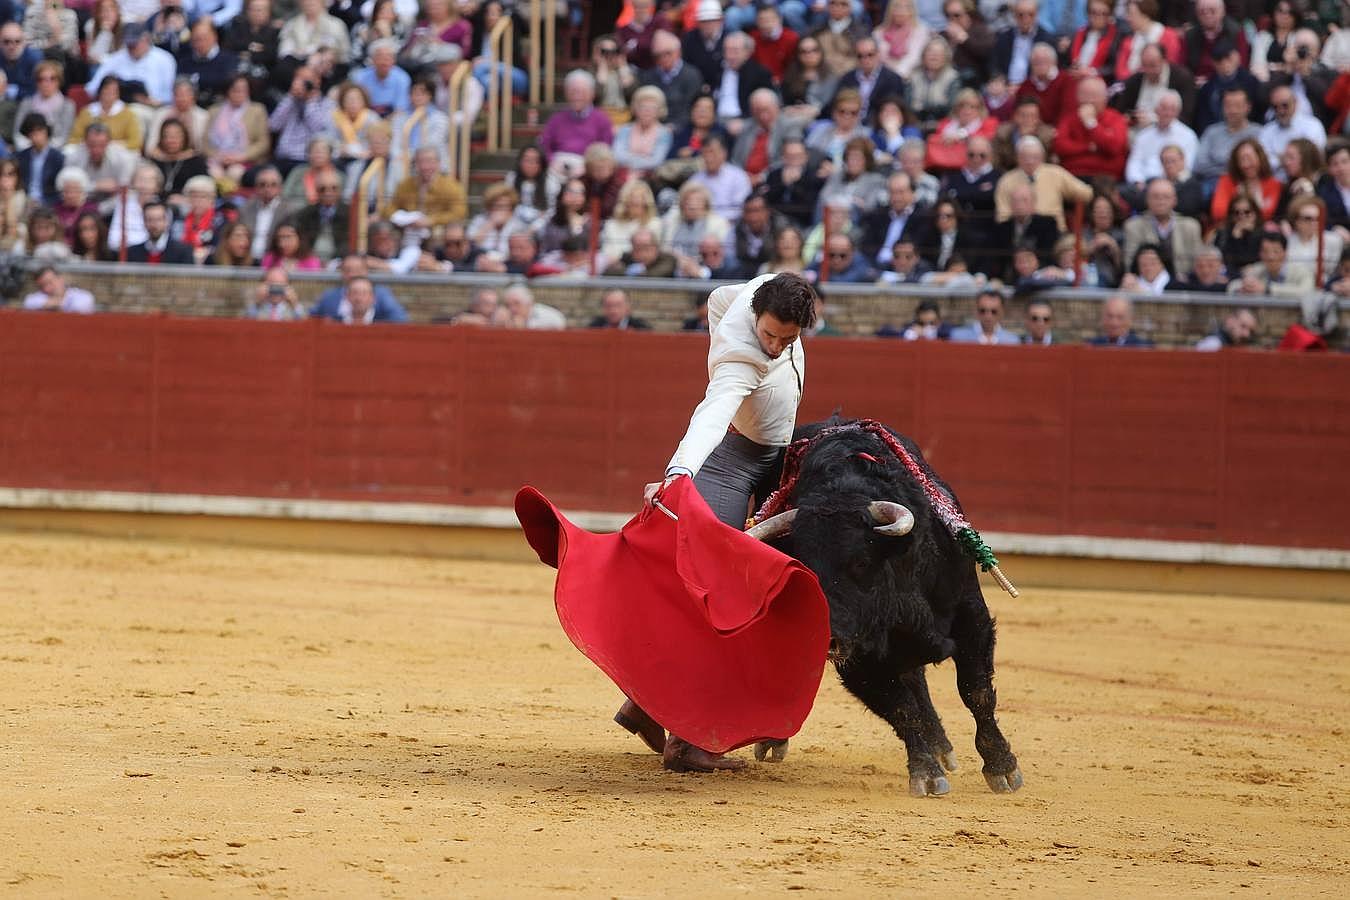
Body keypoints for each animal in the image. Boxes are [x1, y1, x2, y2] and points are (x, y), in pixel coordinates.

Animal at [745, 418, 1015, 798]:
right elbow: (901, 709)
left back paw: (941, 745)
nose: (828, 638)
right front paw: (926, 774)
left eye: (860, 562)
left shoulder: (971, 618)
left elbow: (976, 693)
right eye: (805, 568)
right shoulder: (859, 659)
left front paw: (1002, 767)